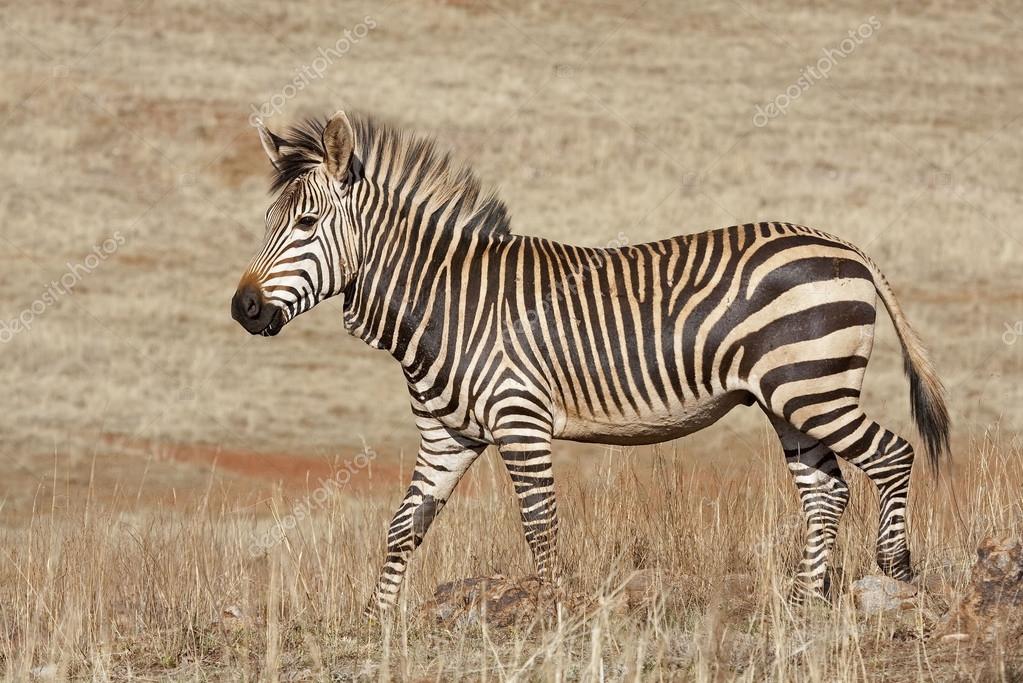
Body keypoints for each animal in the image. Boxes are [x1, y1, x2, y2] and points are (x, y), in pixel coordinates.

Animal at [232, 110, 950, 613]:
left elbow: (539, 526)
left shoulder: (519, 420)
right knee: (825, 490)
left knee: (891, 454)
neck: (446, 302)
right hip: (788, 397)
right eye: (267, 221)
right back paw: (804, 601)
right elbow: (404, 524)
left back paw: (895, 574)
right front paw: (378, 622)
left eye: (306, 224)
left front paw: (550, 617)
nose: (243, 308)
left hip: (812, 386)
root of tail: (844, 245)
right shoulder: (447, 433)